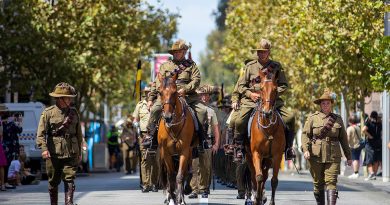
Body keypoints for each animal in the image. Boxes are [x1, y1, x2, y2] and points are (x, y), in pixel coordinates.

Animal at [157, 71, 197, 204]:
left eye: (175, 92)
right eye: (160, 92)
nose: (168, 117)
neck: (174, 126)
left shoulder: (185, 151)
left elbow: (180, 176)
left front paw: (180, 199)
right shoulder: (166, 152)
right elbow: (170, 176)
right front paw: (173, 198)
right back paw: (169, 196)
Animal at [245, 69, 284, 204]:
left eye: (275, 89)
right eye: (261, 89)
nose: (267, 112)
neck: (268, 127)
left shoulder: (277, 155)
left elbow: (274, 180)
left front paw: (270, 201)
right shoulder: (256, 153)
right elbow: (258, 177)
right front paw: (257, 198)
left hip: (267, 159)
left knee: (266, 175)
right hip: (249, 156)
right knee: (253, 175)